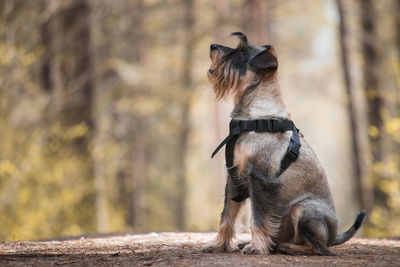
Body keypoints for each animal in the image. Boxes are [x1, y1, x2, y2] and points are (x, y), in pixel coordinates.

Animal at [203, 32, 366, 256]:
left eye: (242, 53)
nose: (212, 46)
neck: (254, 116)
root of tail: (334, 235)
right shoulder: (234, 177)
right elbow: (227, 216)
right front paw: (219, 244)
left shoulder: (260, 179)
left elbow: (257, 218)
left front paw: (256, 247)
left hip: (302, 210)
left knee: (317, 246)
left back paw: (289, 247)